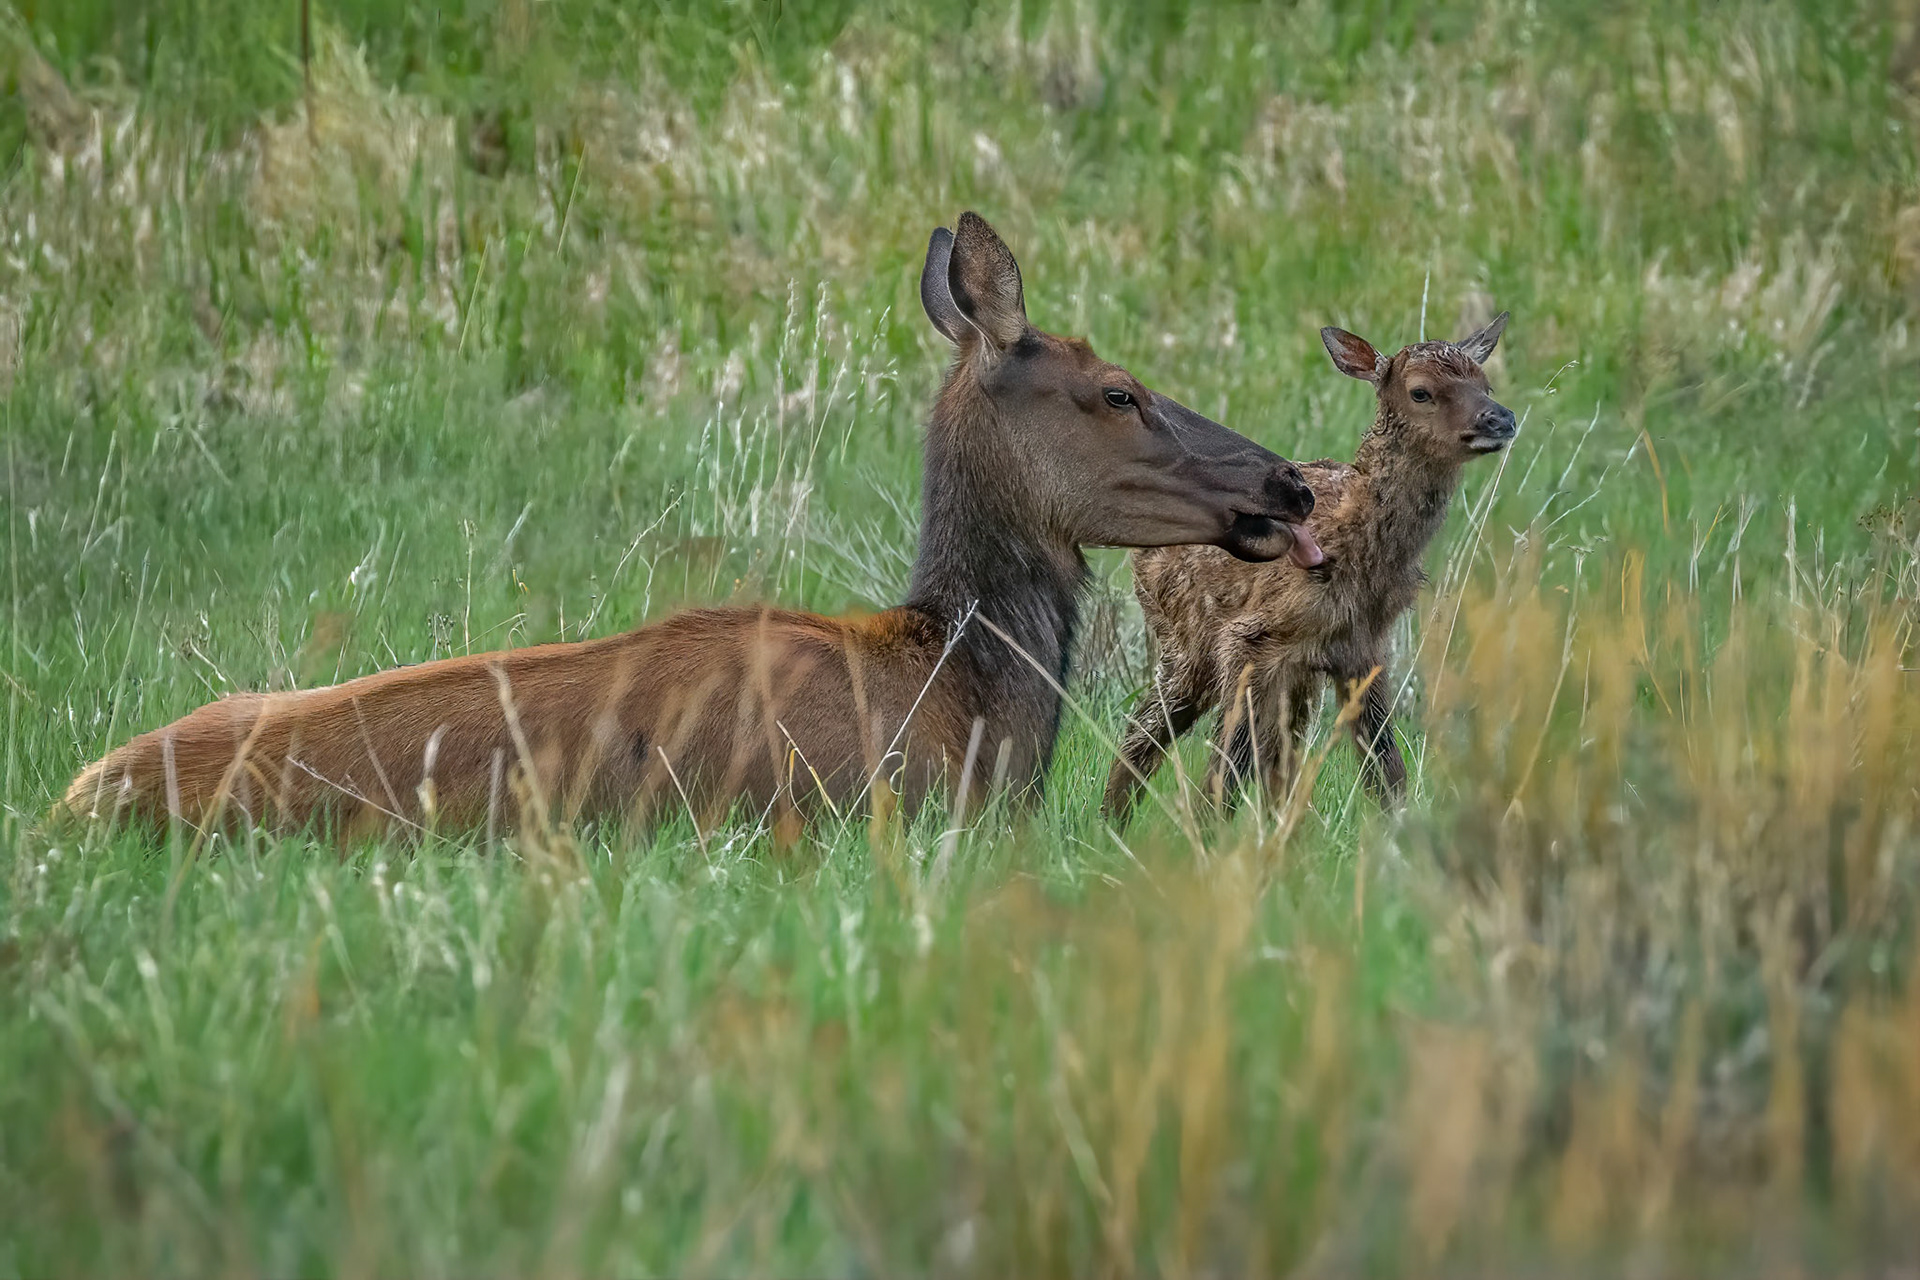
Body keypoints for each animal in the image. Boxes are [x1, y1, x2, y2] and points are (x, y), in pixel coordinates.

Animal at [1101, 311, 1514, 824]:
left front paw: (1396, 832)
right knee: (1146, 731)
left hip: (1290, 676)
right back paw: (1112, 820)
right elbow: (1227, 762)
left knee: (1274, 759)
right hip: (1187, 640)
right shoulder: (1250, 641)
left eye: (1485, 383)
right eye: (1421, 391)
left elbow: (1385, 765)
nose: (1501, 418)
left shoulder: (1363, 649)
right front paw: (1209, 829)